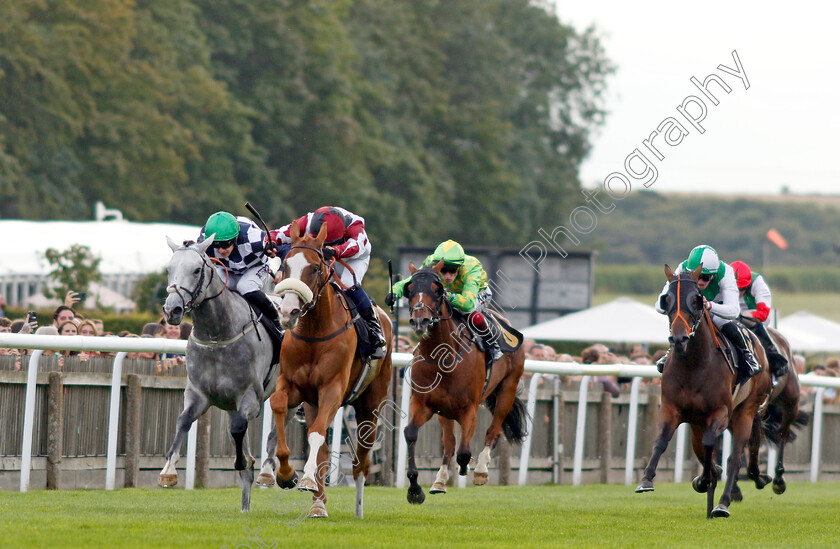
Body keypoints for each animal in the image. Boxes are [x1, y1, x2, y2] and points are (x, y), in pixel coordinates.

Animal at [154, 235, 278, 510]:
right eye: (168, 269)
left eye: (196, 270)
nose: (172, 310)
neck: (218, 334)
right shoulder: (199, 393)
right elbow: (183, 420)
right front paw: (168, 471)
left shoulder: (250, 396)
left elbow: (238, 429)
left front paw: (243, 461)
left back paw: (268, 471)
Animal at [270, 219, 394, 520]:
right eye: (285, 266)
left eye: (315, 268)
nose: (288, 312)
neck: (314, 332)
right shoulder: (295, 387)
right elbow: (279, 405)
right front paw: (286, 474)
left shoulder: (333, 390)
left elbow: (316, 434)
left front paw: (303, 478)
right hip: (314, 403)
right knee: (325, 450)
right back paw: (318, 503)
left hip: (370, 405)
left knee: (361, 460)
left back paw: (358, 508)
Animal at [400, 264, 524, 504]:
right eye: (409, 289)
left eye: (437, 289)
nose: (420, 321)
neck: (443, 358)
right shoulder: (423, 403)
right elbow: (411, 433)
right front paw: (415, 490)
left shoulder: (469, 409)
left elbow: (465, 452)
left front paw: (469, 468)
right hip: (445, 411)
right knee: (449, 443)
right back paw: (439, 481)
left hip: (508, 389)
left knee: (493, 431)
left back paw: (481, 471)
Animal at [636, 266, 768, 520]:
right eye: (666, 299)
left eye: (697, 300)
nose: (679, 339)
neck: (693, 364)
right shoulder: (672, 409)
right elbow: (661, 440)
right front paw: (646, 480)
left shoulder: (720, 412)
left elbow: (710, 446)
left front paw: (708, 477)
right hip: (697, 424)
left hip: (745, 412)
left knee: (735, 457)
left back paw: (722, 504)